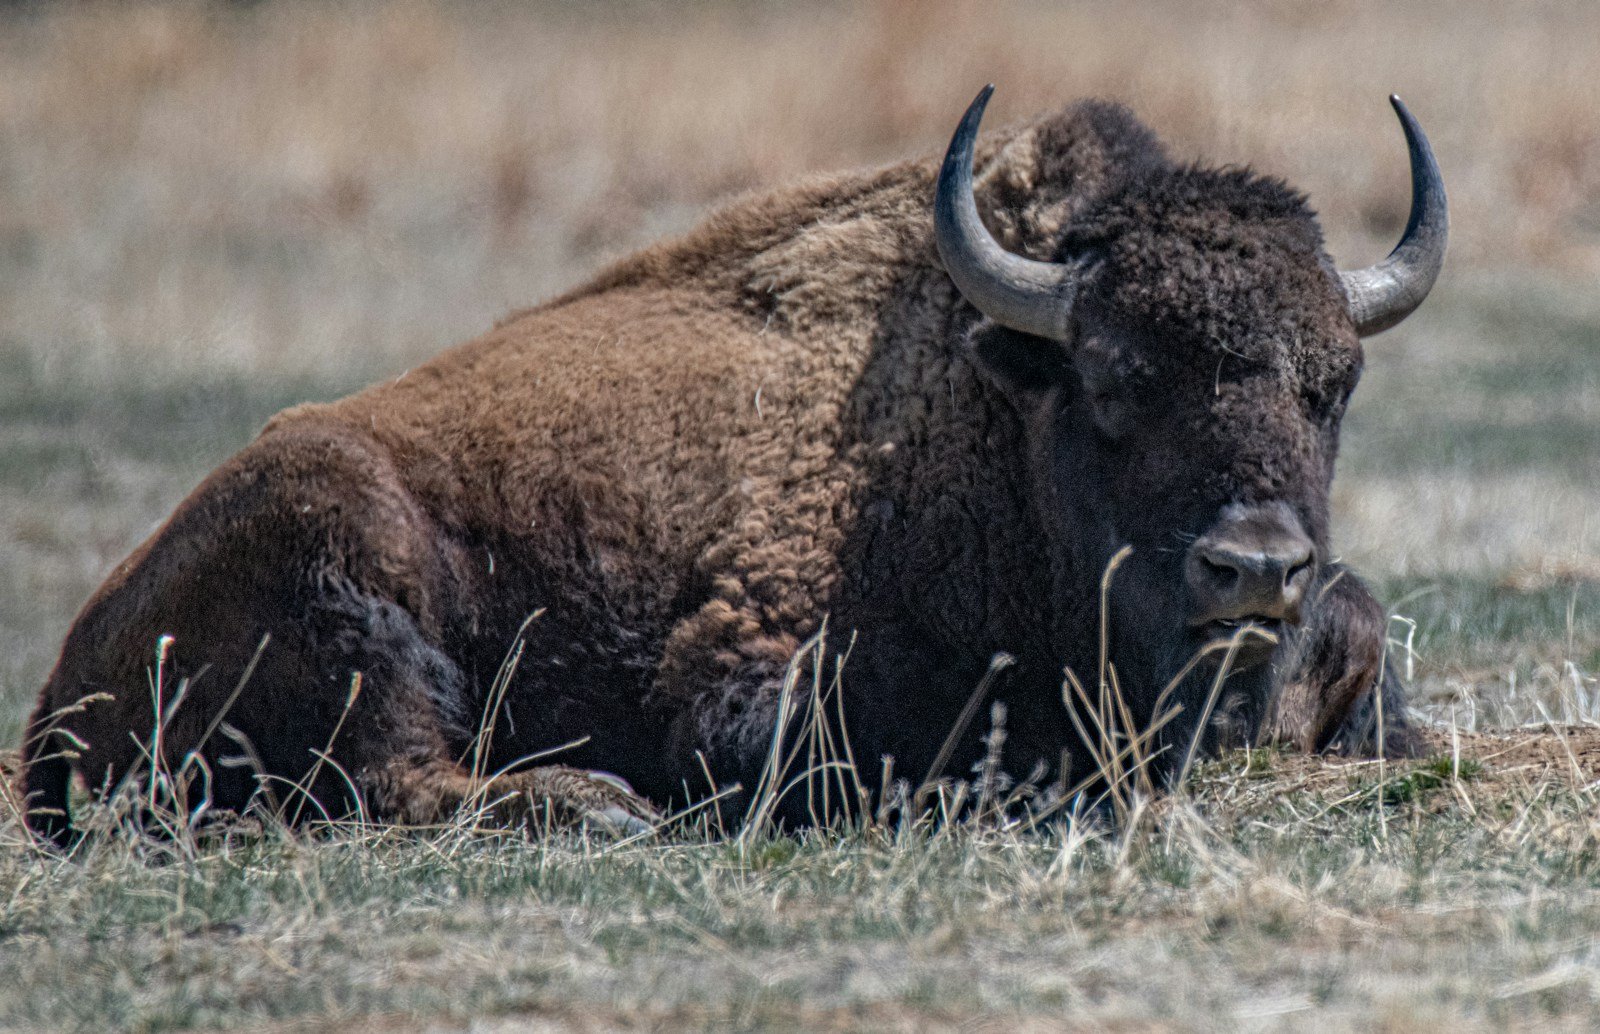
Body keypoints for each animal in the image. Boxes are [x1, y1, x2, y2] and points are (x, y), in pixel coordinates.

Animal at [22, 87, 1445, 843]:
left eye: (1332, 385)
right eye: (1113, 378)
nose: (1253, 567)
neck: (991, 408)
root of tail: (65, 680)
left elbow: (1363, 625)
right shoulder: (745, 682)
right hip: (347, 553)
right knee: (398, 769)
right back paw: (599, 803)